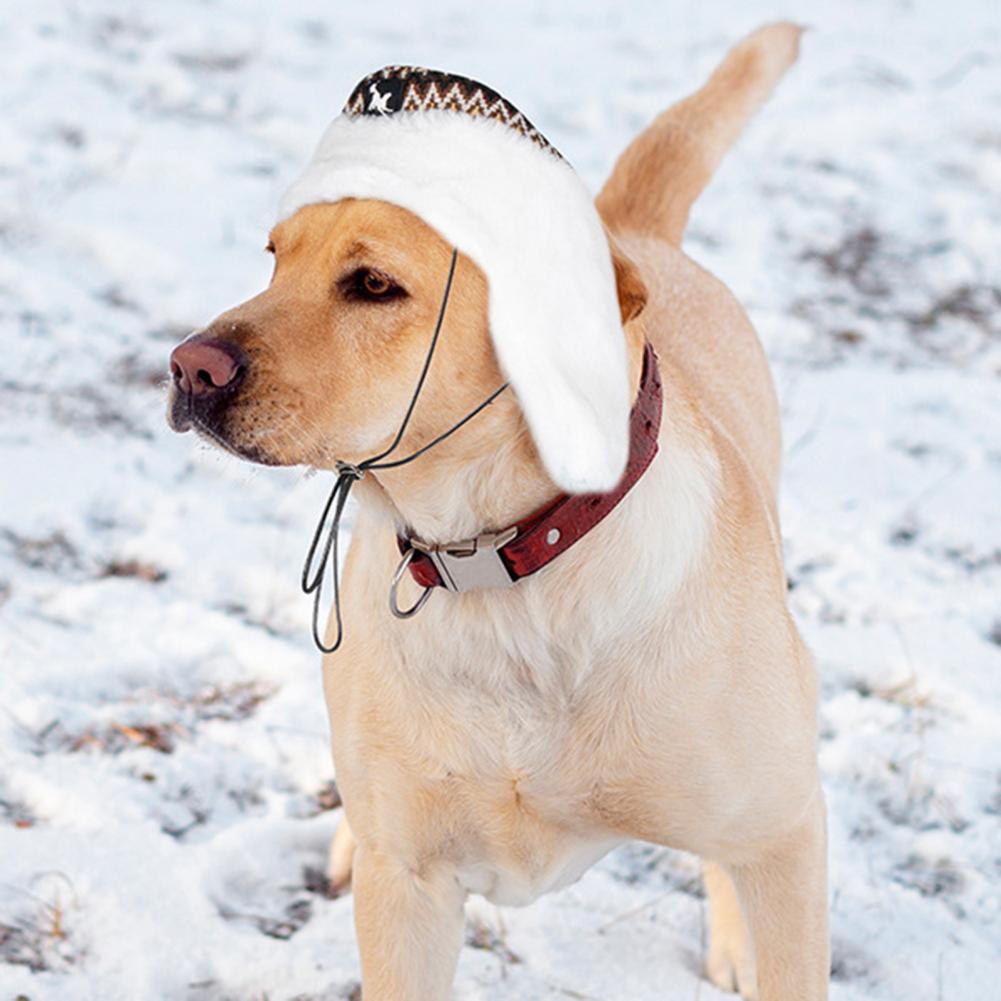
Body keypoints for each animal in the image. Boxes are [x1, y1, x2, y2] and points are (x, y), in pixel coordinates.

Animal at [170, 23, 828, 1001]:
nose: (187, 367)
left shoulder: (786, 831)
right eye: (274, 256)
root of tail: (626, 229)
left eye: (373, 284)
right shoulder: (409, 892)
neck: (505, 561)